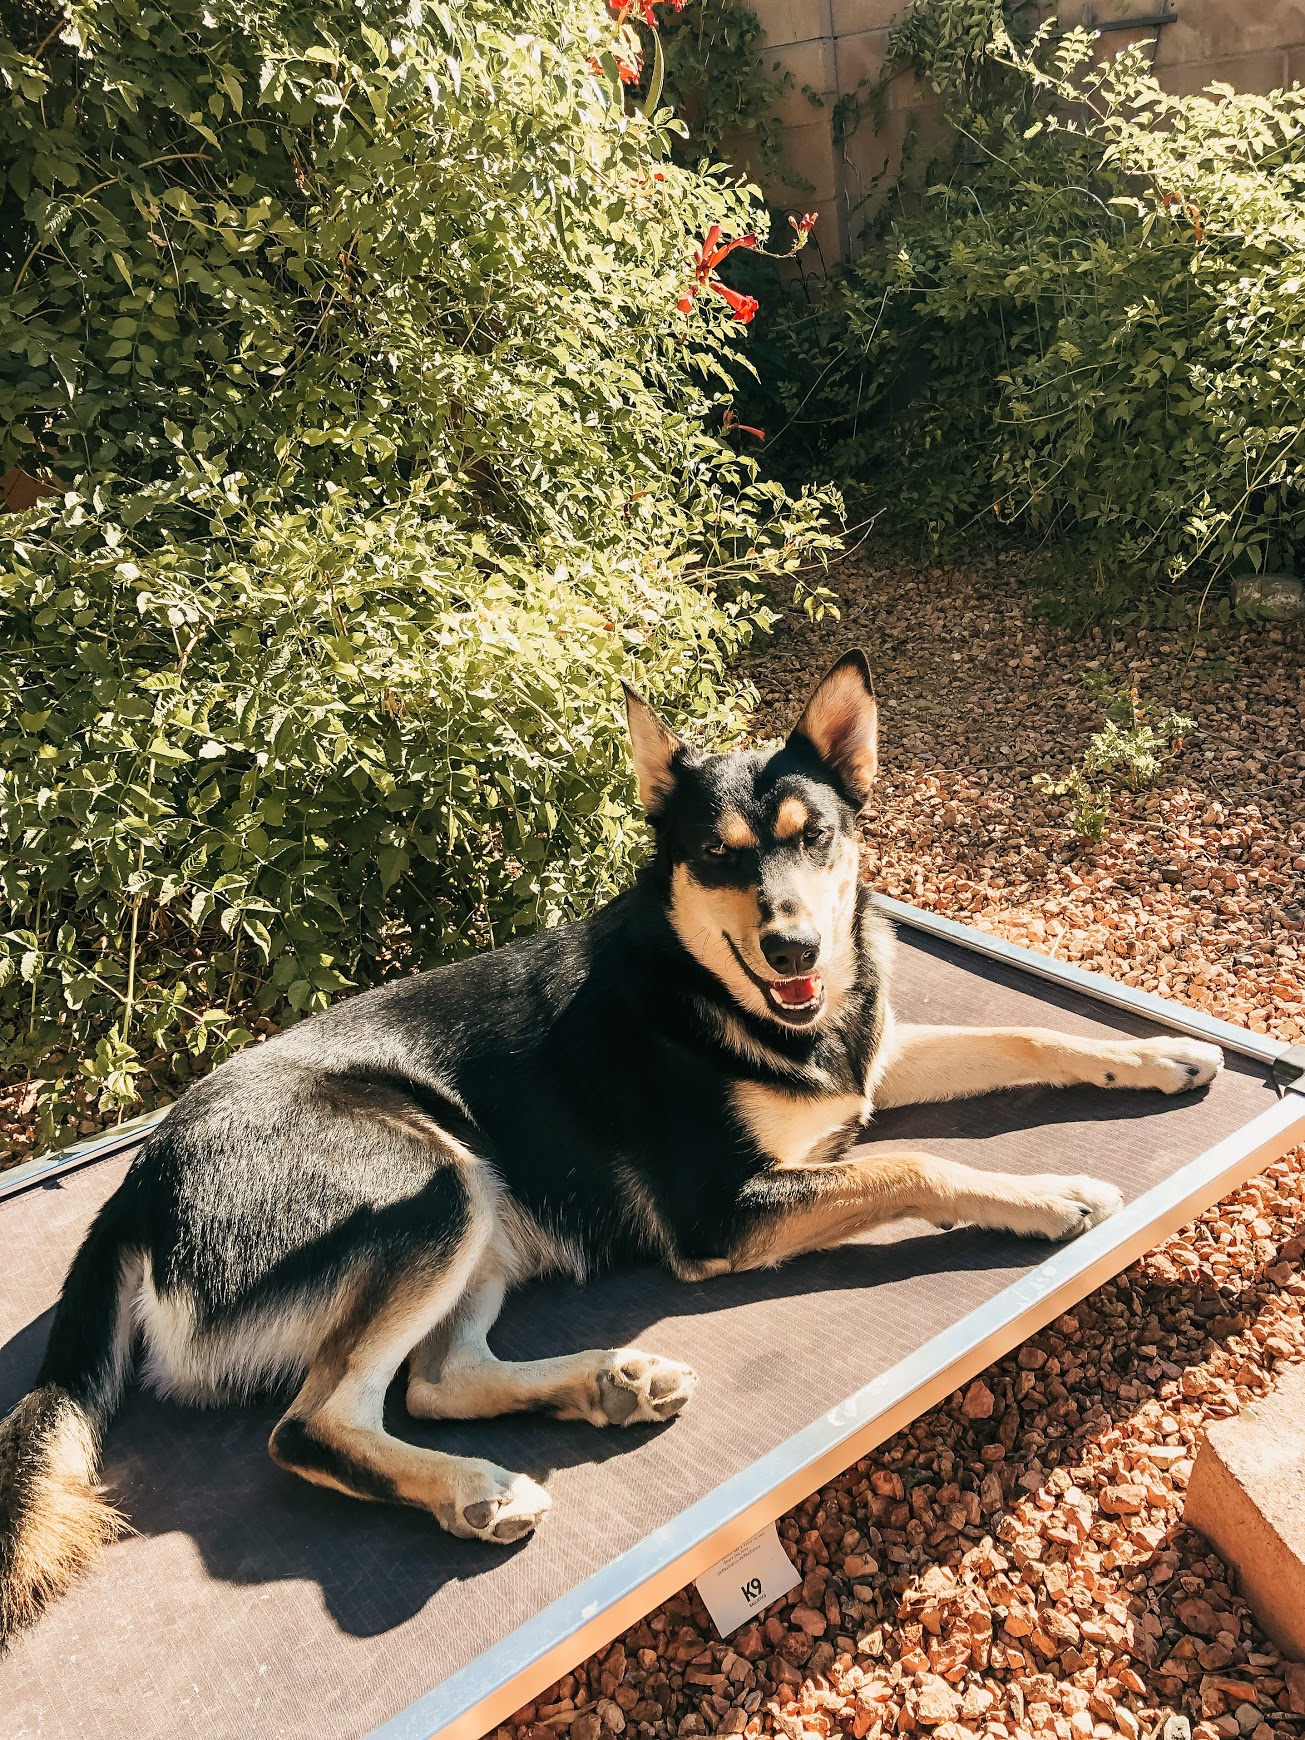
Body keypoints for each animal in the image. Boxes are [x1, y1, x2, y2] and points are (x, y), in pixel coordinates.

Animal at [0, 650, 1224, 1628]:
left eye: (813, 838)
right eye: (717, 857)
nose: (792, 949)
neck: (719, 993)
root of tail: (136, 1182)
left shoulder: (866, 1070)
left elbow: (1022, 1033)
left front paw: (1161, 1053)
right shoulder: (725, 1212)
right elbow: (914, 1161)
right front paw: (1049, 1193)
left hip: (486, 1211)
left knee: (436, 1379)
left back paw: (605, 1387)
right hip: (435, 1180)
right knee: (313, 1424)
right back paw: (475, 1488)